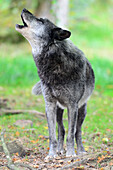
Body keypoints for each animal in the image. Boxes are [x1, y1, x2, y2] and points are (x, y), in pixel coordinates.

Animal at [15, 8, 94, 158]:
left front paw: (71, 153)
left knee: (78, 131)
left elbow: (71, 133)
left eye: (40, 20)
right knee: (61, 129)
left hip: (82, 110)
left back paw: (80, 150)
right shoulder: (50, 104)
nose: (24, 9)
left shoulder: (72, 105)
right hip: (59, 110)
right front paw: (51, 154)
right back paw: (59, 150)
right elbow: (52, 134)